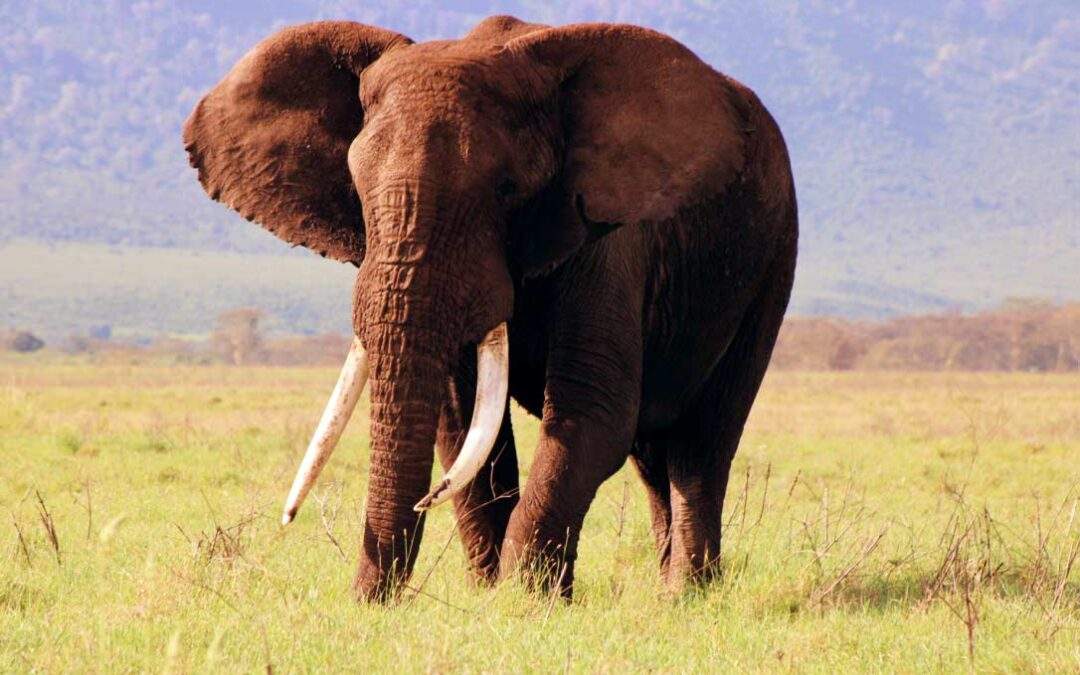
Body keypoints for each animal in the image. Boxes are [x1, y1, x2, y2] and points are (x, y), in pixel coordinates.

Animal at [183, 14, 794, 600]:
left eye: (507, 189)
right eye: (356, 188)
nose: (368, 602)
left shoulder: (611, 240)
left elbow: (592, 413)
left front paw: (524, 602)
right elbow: (464, 427)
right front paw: (492, 597)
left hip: (772, 260)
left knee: (702, 442)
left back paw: (686, 596)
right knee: (653, 451)